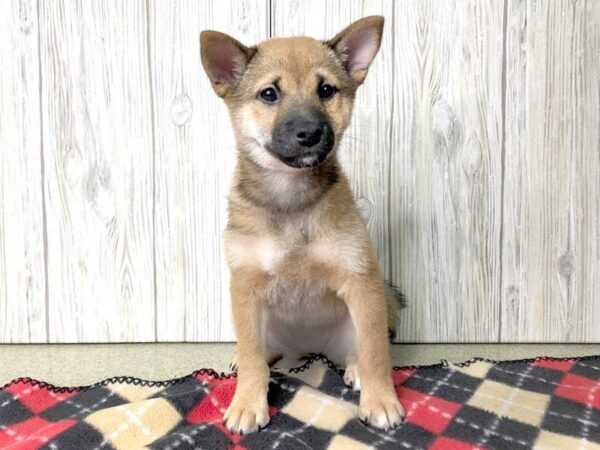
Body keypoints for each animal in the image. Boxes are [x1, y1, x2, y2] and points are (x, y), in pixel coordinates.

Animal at [199, 15, 406, 434]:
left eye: (326, 90)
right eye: (268, 94)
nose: (310, 133)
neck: (290, 195)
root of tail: (310, 349)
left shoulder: (360, 279)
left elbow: (376, 353)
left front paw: (380, 399)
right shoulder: (245, 286)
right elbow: (252, 358)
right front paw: (247, 402)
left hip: (369, 308)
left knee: (364, 347)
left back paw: (356, 371)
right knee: (260, 352)